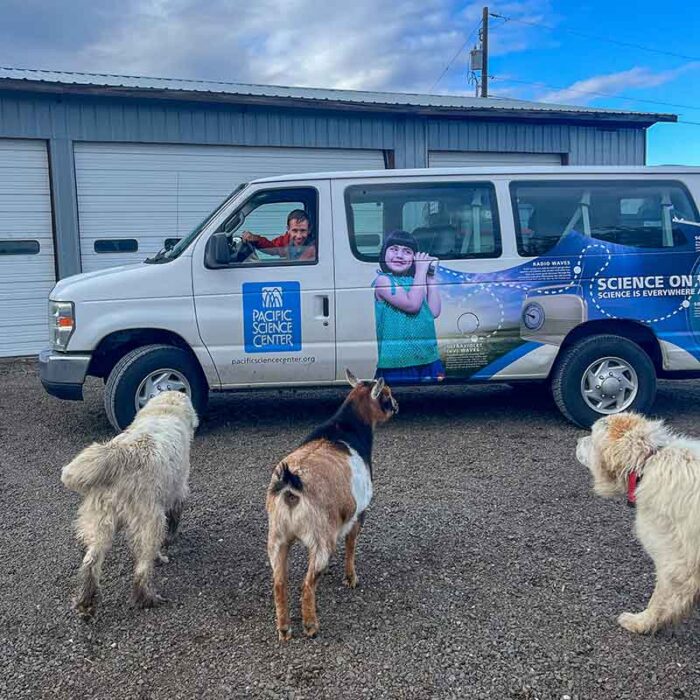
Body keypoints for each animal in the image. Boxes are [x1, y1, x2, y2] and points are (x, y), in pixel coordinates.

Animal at [60, 392, 198, 620]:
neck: (164, 410)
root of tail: (119, 455)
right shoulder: (178, 490)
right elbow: (174, 518)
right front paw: (170, 541)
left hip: (101, 523)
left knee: (90, 562)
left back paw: (86, 602)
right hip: (150, 522)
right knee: (142, 567)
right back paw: (146, 598)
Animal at [266, 372, 400, 640]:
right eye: (387, 394)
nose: (397, 405)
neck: (343, 429)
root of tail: (290, 485)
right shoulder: (358, 513)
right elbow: (350, 545)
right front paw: (351, 578)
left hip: (277, 538)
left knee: (279, 583)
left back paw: (284, 628)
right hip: (319, 538)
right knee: (306, 584)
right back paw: (310, 625)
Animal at [576, 410, 700, 636]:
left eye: (591, 435)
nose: (577, 441)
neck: (646, 463)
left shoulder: (675, 562)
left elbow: (659, 601)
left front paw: (642, 623)